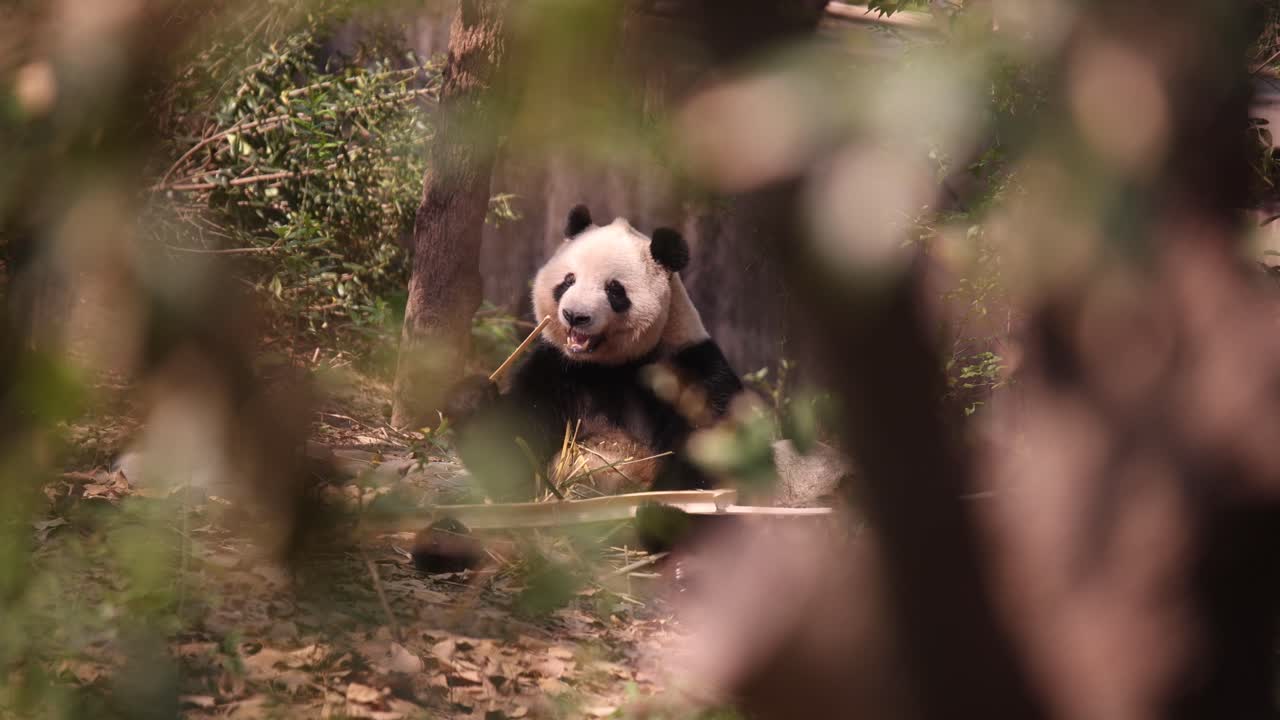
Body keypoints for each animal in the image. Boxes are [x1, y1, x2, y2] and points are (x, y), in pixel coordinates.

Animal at [444, 204, 745, 501]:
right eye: (568, 280)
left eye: (614, 289)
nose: (575, 316)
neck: (609, 365)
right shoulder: (555, 370)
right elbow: (512, 447)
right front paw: (469, 397)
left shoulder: (688, 367)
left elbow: (709, 445)